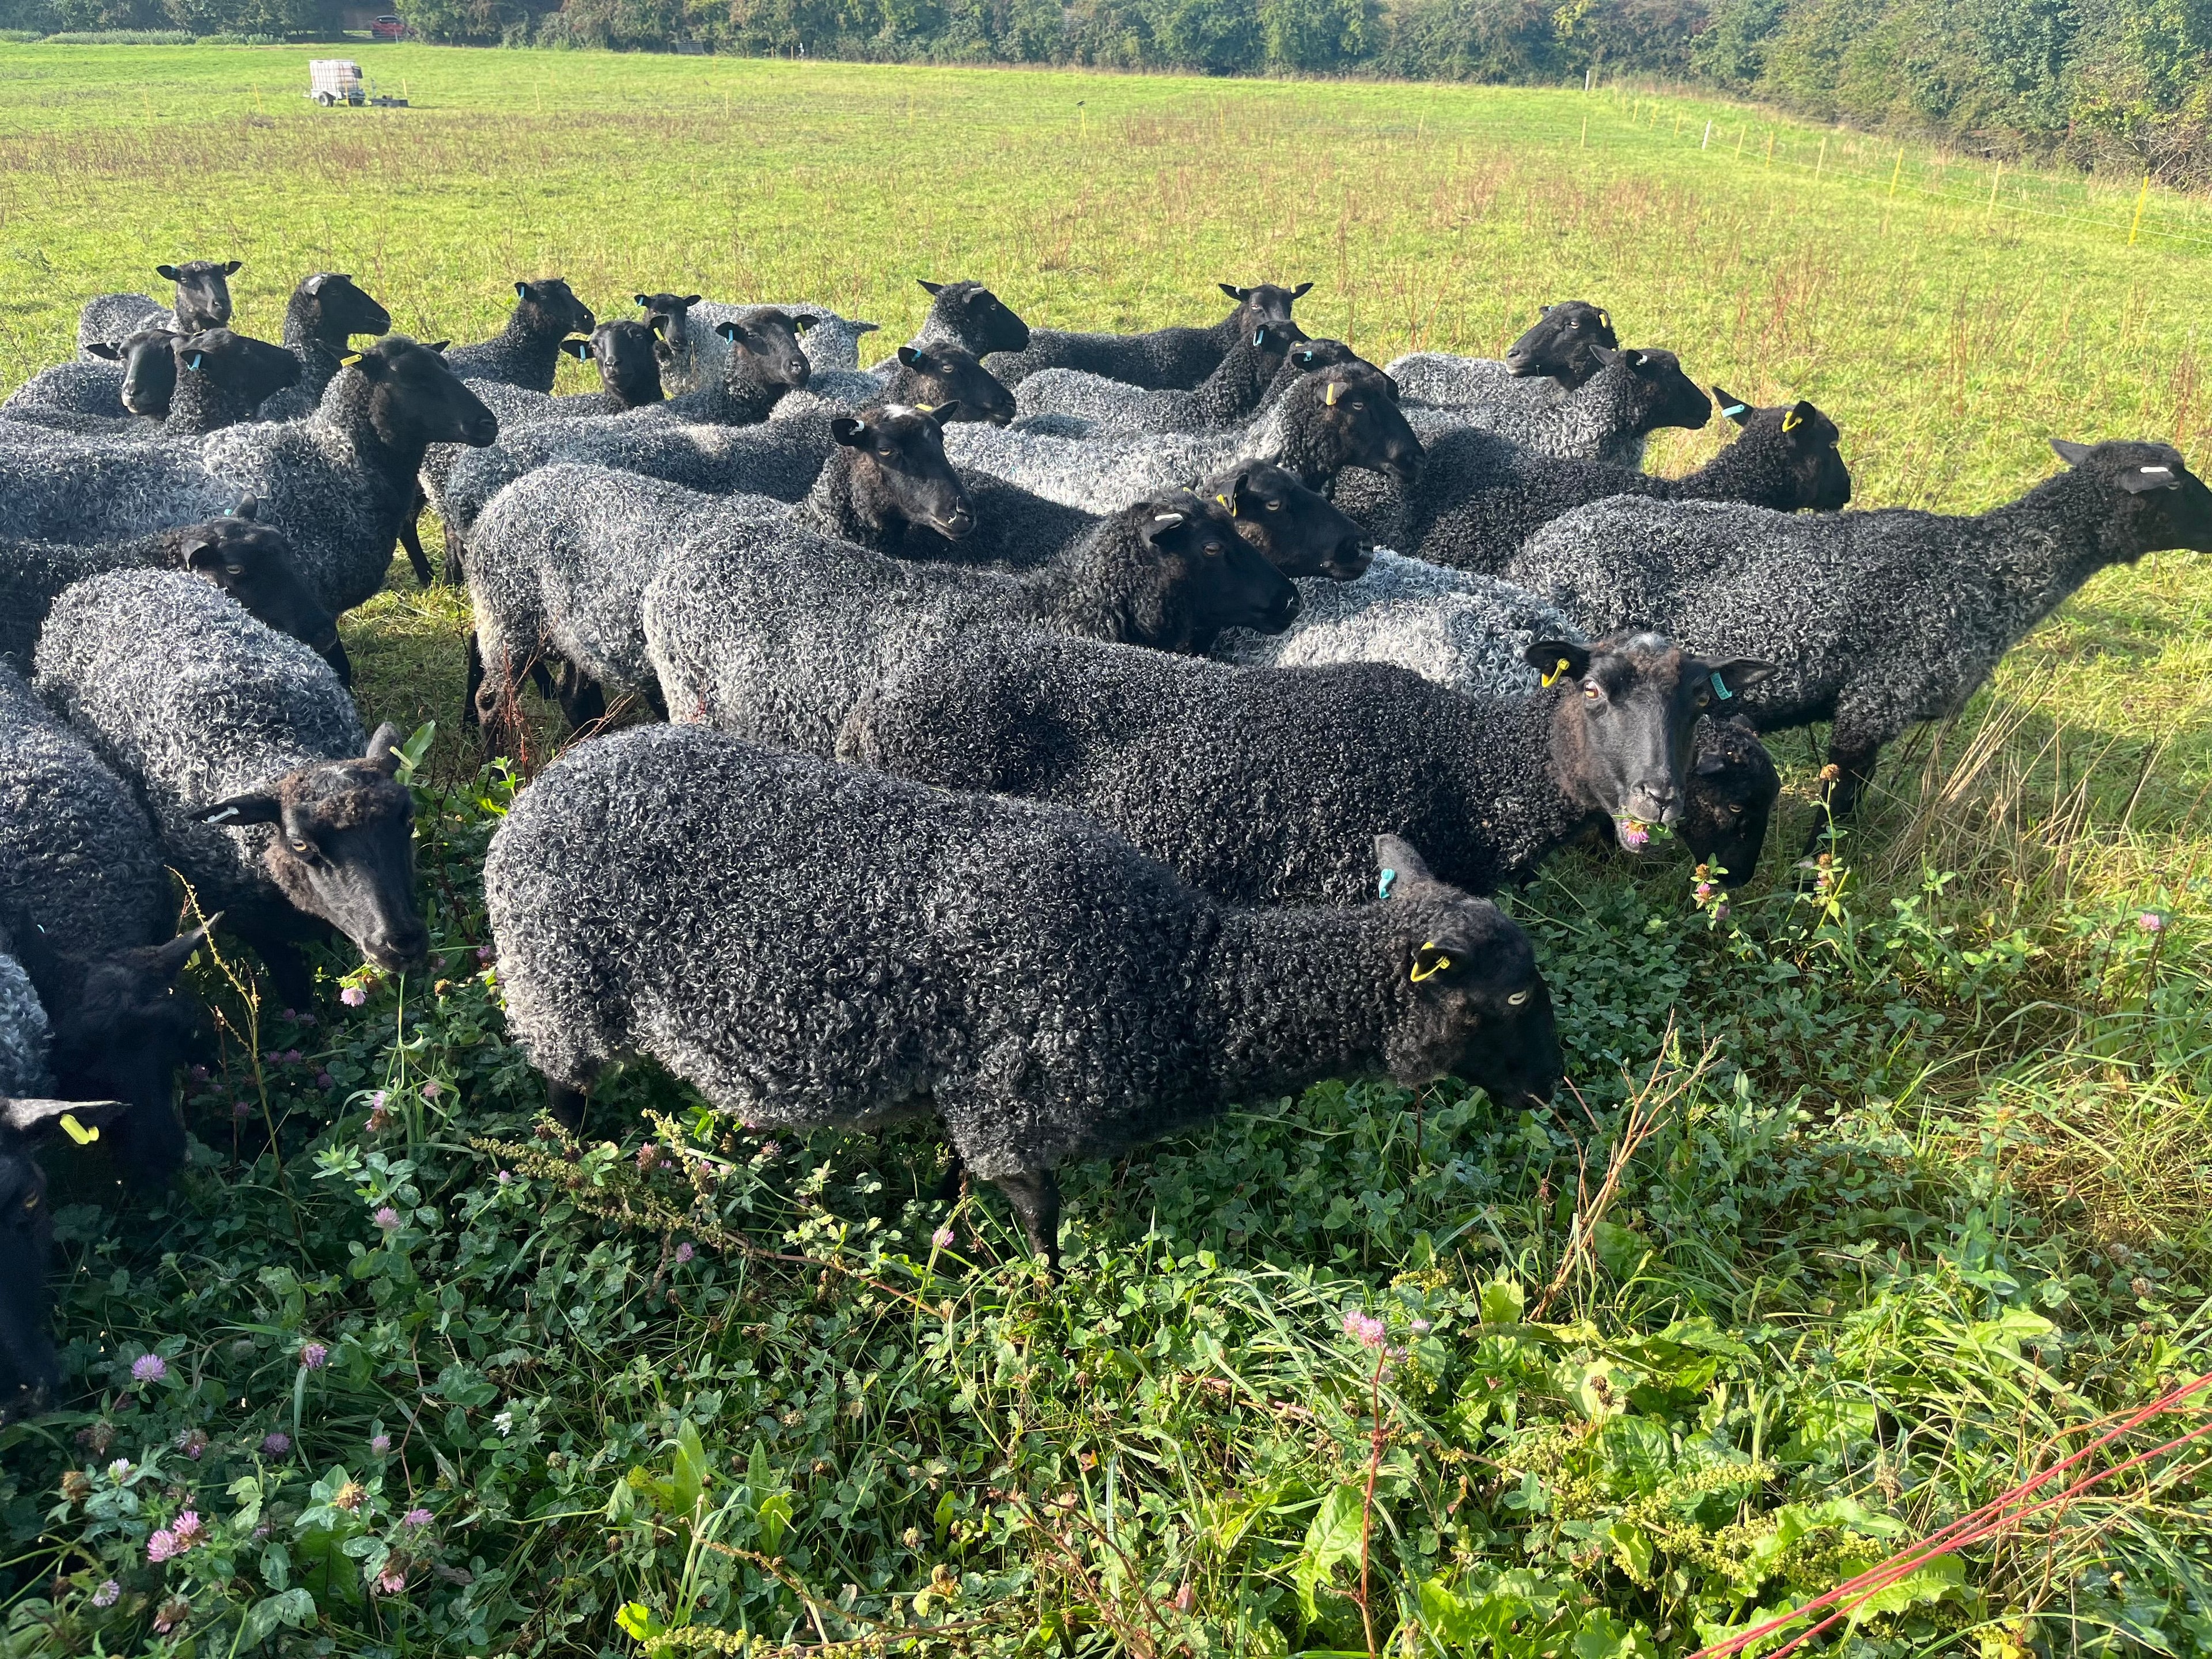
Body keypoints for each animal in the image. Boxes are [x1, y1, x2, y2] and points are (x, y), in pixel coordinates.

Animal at [35, 569, 429, 1008]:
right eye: (300, 844)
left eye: (407, 818)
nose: (401, 943)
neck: (270, 745)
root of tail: (108, 576)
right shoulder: (248, 923)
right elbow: (293, 985)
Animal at [484, 724, 1563, 1268]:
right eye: (1513, 1004)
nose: (1556, 1094)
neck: (1187, 976)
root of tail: (537, 795)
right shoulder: (1016, 1107)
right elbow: (1042, 1220)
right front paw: (1051, 1296)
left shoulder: (972, 1098)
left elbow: (967, 1181)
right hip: (558, 986)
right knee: (563, 1090)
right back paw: (570, 1168)